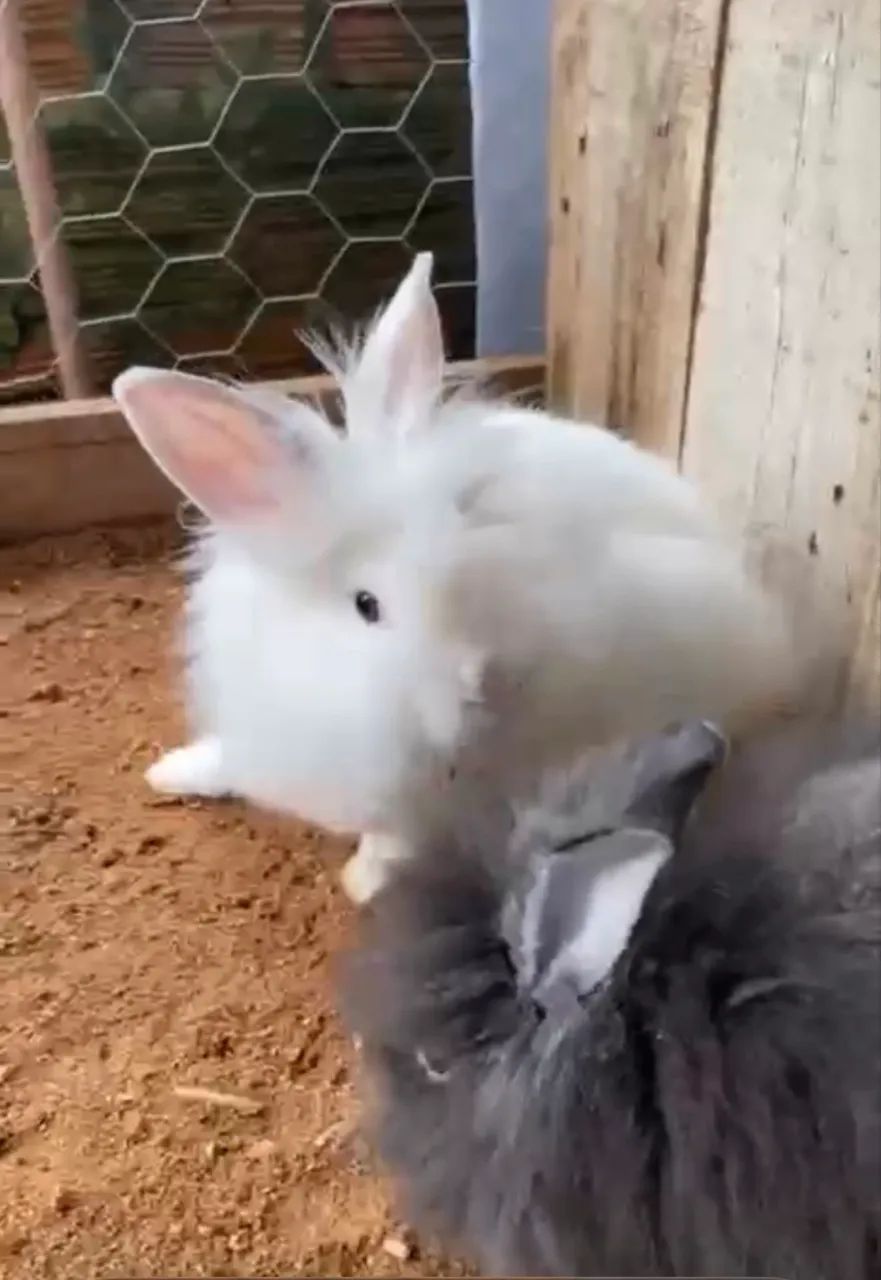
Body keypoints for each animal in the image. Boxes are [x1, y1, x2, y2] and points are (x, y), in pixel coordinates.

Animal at [112, 251, 798, 904]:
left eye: (468, 534)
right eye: (367, 605)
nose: (485, 681)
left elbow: (396, 841)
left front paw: (361, 882)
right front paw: (169, 772)